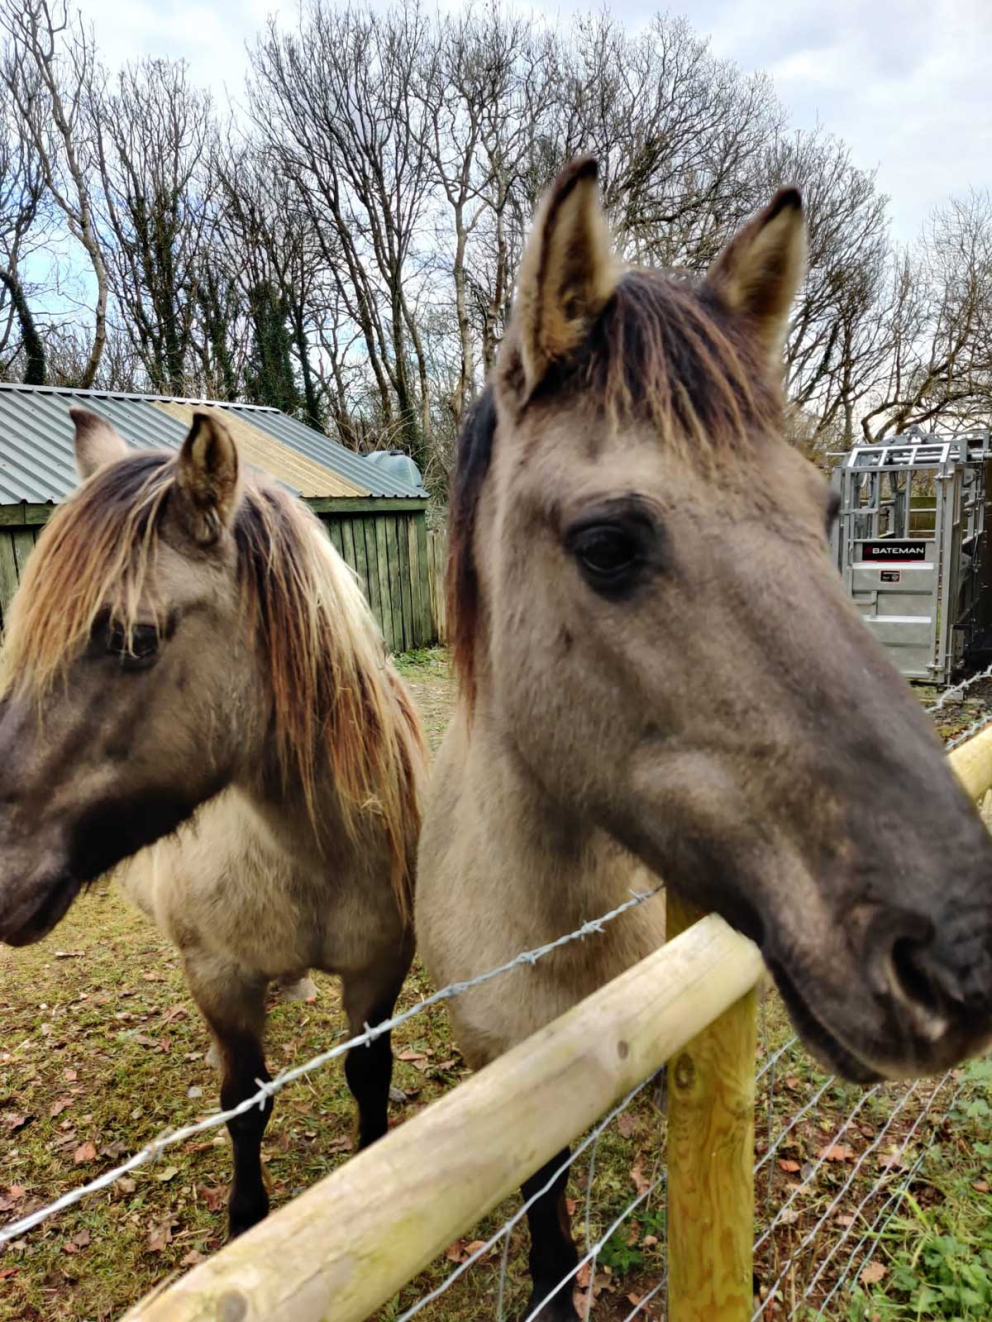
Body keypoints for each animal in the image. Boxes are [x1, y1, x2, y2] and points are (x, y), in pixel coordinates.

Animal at [0, 407, 428, 1238]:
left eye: (133, 639)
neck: (313, 851)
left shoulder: (381, 965)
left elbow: (368, 1073)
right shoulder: (221, 980)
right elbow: (244, 1104)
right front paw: (247, 1220)